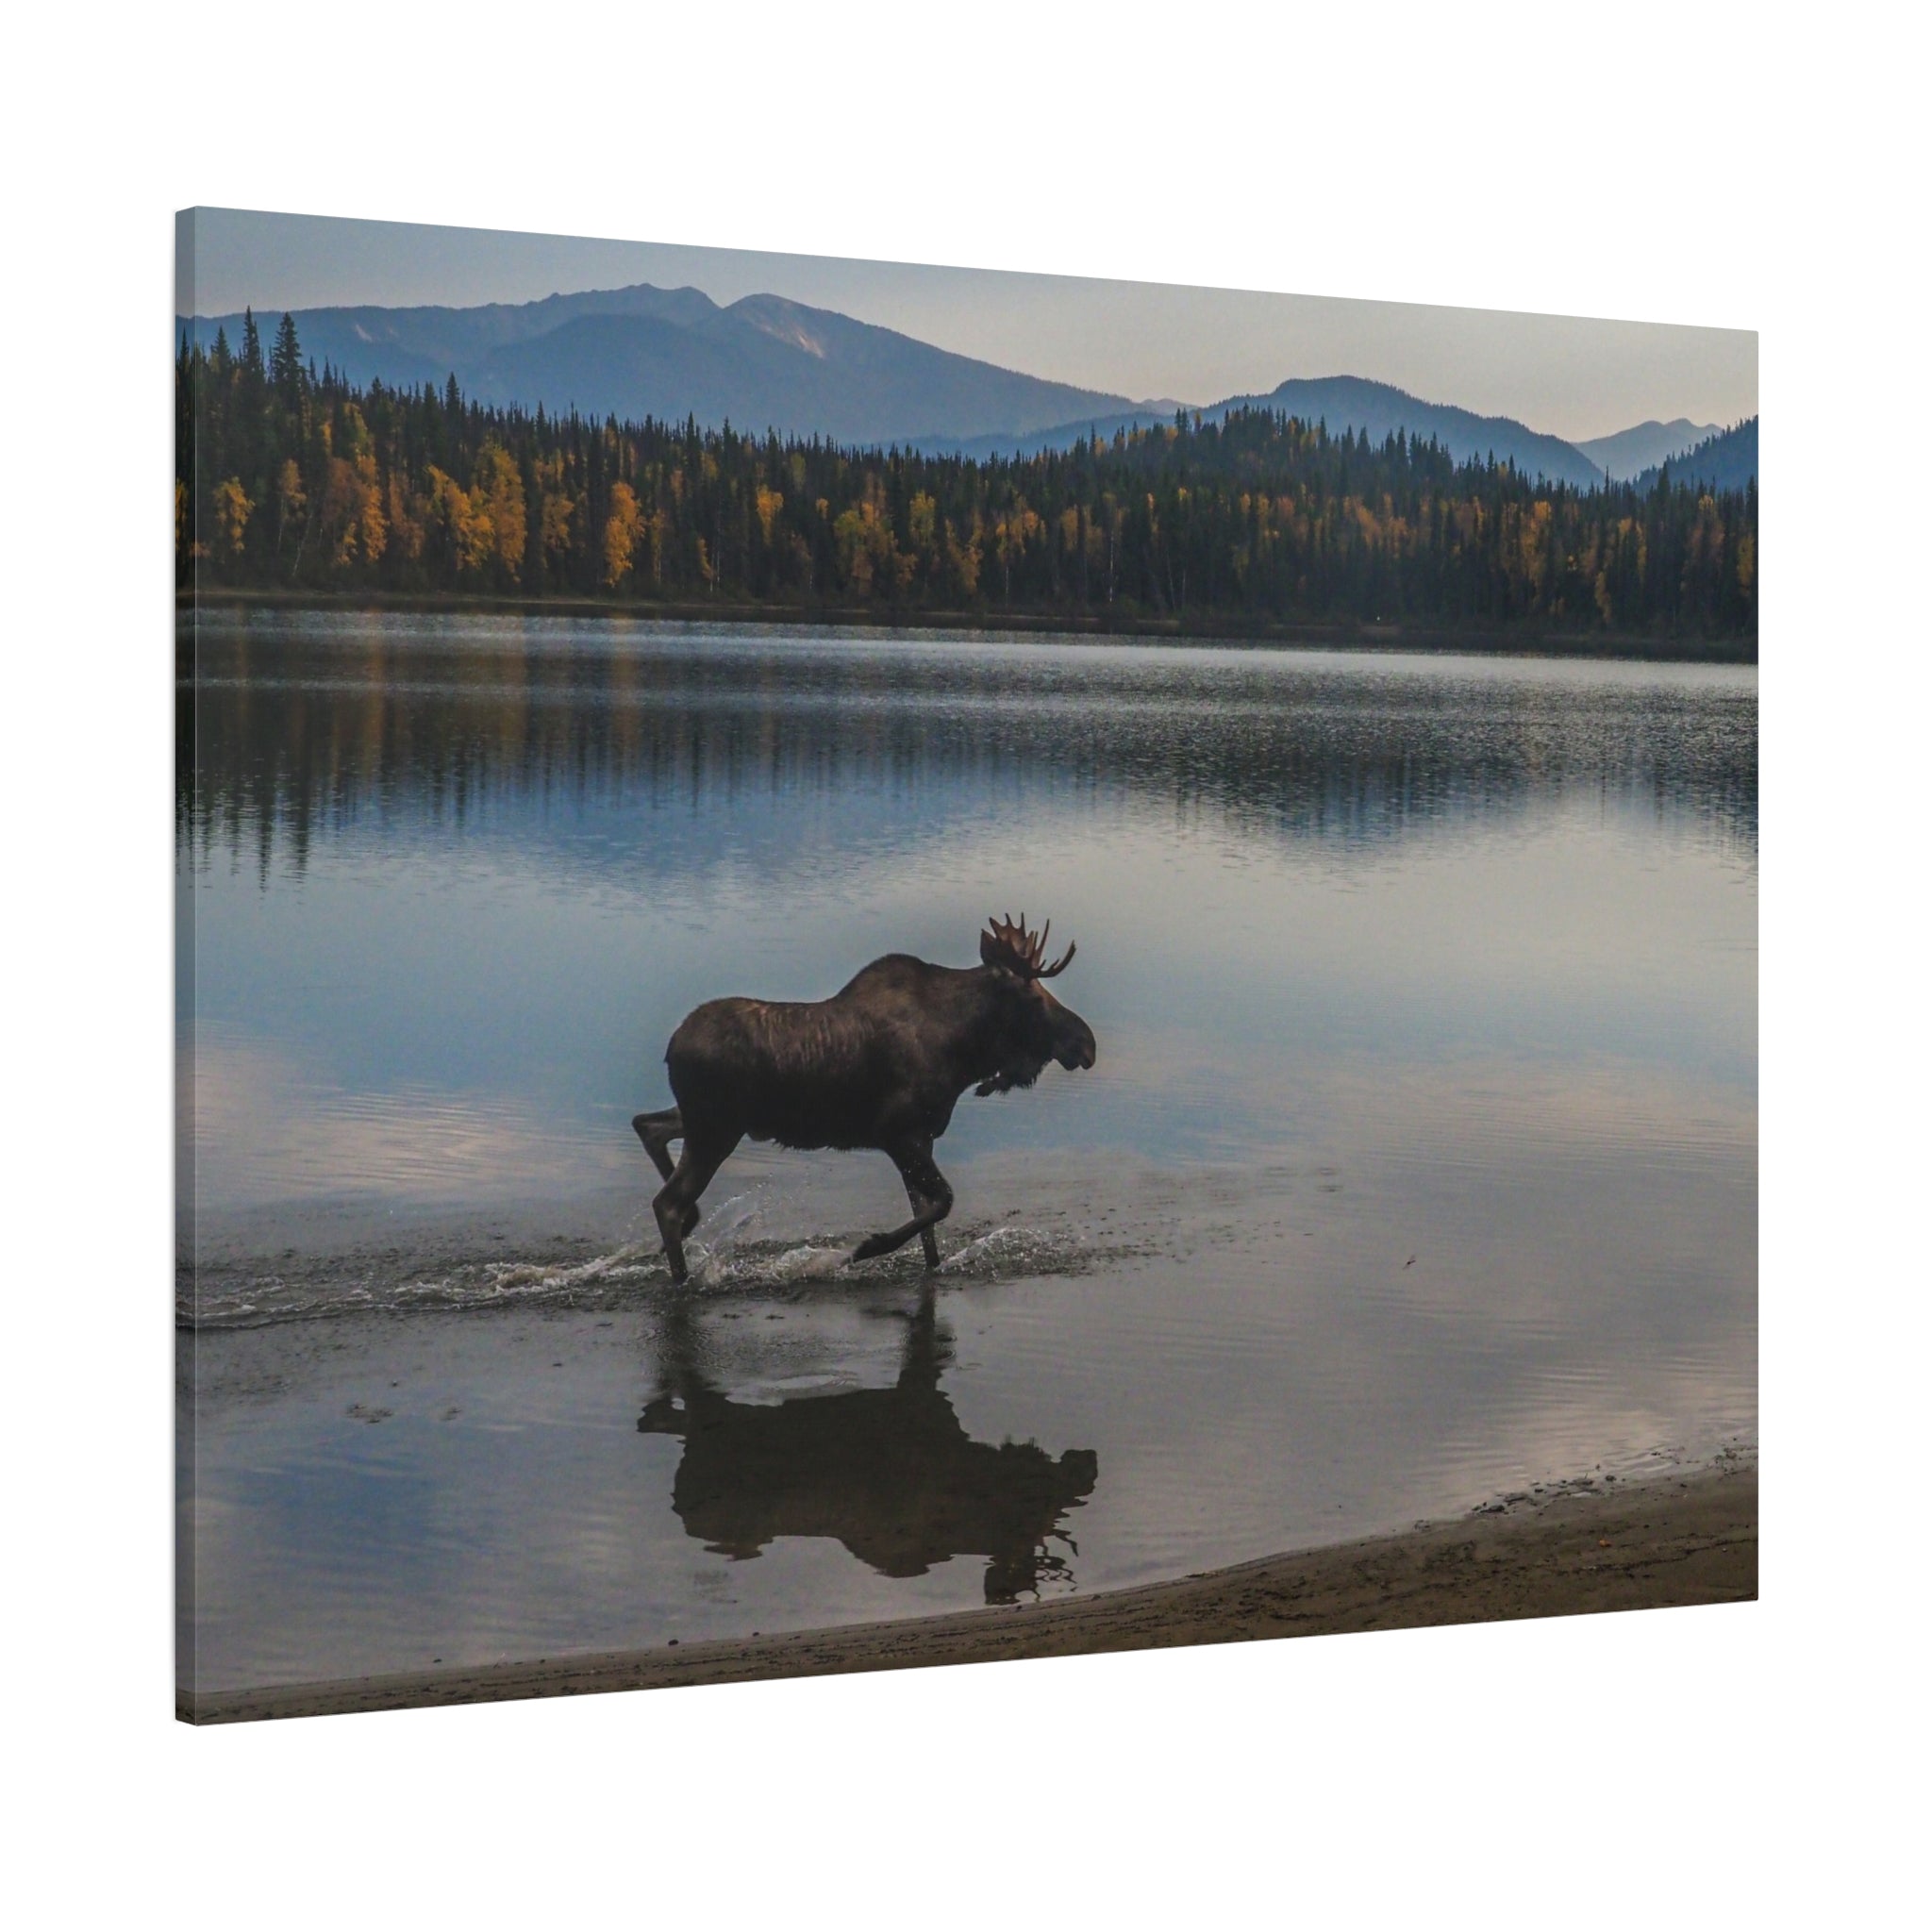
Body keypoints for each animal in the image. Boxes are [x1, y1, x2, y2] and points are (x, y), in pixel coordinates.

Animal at [633, 914, 1097, 1283]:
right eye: (1033, 996)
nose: (1087, 1044)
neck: (963, 1053)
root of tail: (671, 1048)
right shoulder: (896, 1132)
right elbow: (942, 1203)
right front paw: (865, 1248)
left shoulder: (922, 1138)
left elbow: (928, 1224)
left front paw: (926, 1264)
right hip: (715, 1129)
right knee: (666, 1202)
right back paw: (682, 1276)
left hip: (707, 1121)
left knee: (648, 1126)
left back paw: (689, 1226)